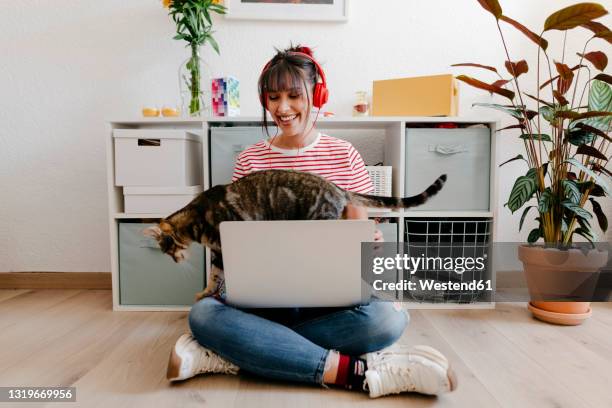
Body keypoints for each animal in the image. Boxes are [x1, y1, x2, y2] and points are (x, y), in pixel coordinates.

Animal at [146, 169, 448, 300]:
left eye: (168, 248)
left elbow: (223, 273)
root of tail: (338, 189)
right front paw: (207, 292)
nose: (174, 260)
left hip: (320, 225)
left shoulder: (225, 240)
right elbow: (215, 275)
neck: (198, 217)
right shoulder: (220, 251)